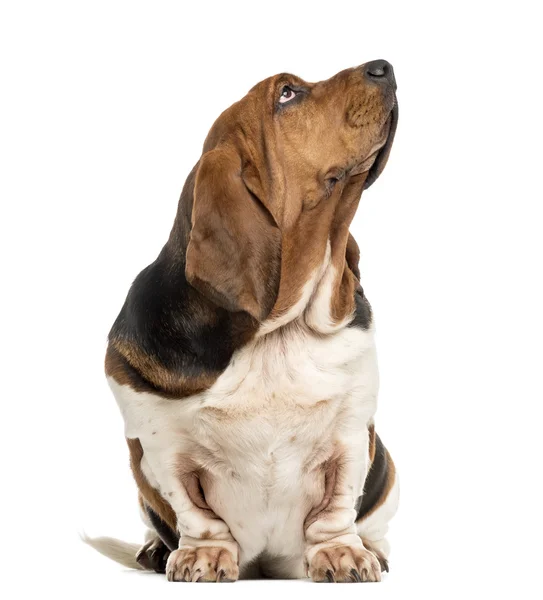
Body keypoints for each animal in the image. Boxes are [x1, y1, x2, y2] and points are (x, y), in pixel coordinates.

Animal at [85, 59, 400, 580]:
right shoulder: (159, 444)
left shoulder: (352, 431)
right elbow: (192, 509)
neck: (279, 331)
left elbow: (337, 507)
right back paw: (156, 549)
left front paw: (342, 553)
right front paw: (203, 555)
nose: (385, 67)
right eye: (287, 94)